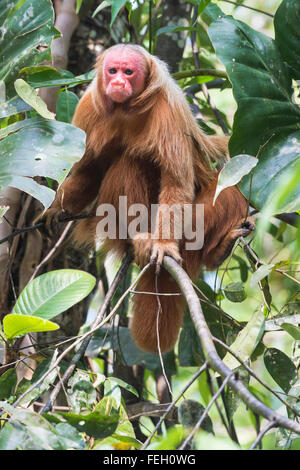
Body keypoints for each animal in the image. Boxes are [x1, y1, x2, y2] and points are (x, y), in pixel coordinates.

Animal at [38, 44, 254, 352]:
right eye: (113, 70)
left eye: (129, 72)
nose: (118, 82)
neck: (125, 109)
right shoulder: (88, 108)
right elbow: (88, 172)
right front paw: (57, 209)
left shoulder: (168, 109)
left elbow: (177, 184)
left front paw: (163, 245)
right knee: (130, 164)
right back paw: (138, 238)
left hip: (190, 224)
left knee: (231, 186)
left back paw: (214, 252)